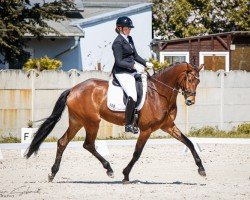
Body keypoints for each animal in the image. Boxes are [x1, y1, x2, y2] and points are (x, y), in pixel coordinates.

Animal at [25, 62, 206, 183]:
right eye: (189, 79)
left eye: (198, 81)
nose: (190, 101)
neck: (159, 94)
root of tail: (73, 89)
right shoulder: (146, 130)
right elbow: (137, 153)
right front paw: (125, 174)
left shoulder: (168, 126)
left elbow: (189, 143)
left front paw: (201, 169)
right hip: (92, 122)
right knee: (88, 144)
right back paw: (109, 169)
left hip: (77, 122)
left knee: (63, 142)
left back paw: (52, 173)